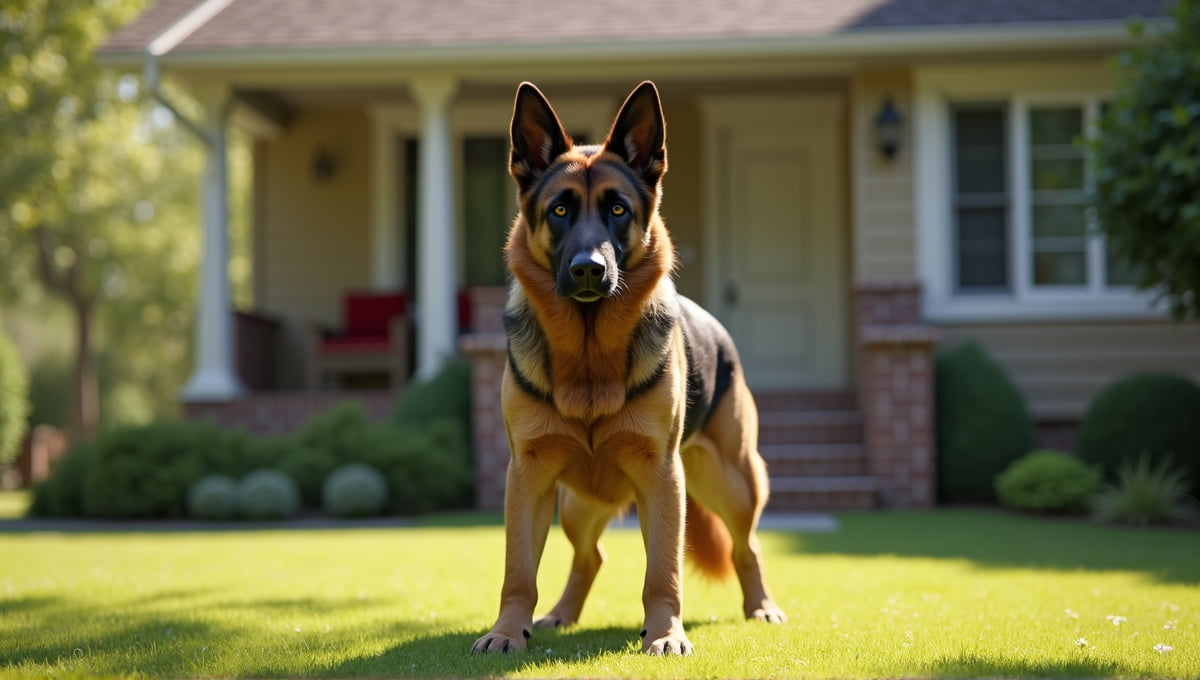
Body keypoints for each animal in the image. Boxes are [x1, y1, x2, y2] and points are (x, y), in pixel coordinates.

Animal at [468, 80, 787, 662]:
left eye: (617, 208)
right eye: (560, 210)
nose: (589, 270)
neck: (589, 355)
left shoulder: (661, 479)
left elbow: (664, 573)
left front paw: (664, 633)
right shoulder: (527, 478)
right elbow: (518, 572)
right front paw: (507, 630)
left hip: (734, 484)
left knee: (745, 547)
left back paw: (761, 607)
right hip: (577, 505)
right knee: (590, 558)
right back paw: (560, 615)